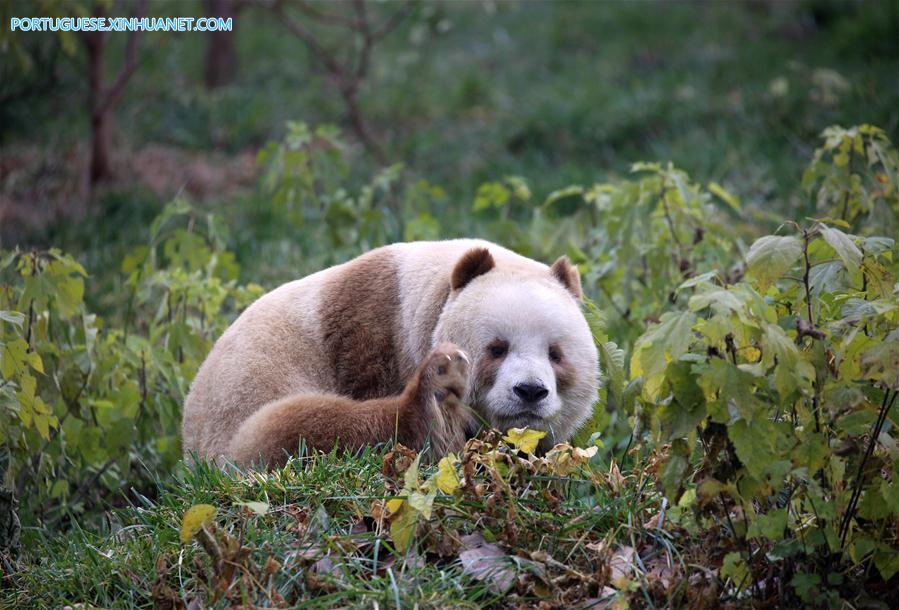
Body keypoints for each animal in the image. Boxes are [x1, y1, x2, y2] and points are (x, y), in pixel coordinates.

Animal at [182, 239, 600, 467]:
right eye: (497, 348)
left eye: (556, 355)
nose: (530, 391)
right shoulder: (372, 331)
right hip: (240, 417)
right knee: (298, 429)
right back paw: (433, 405)